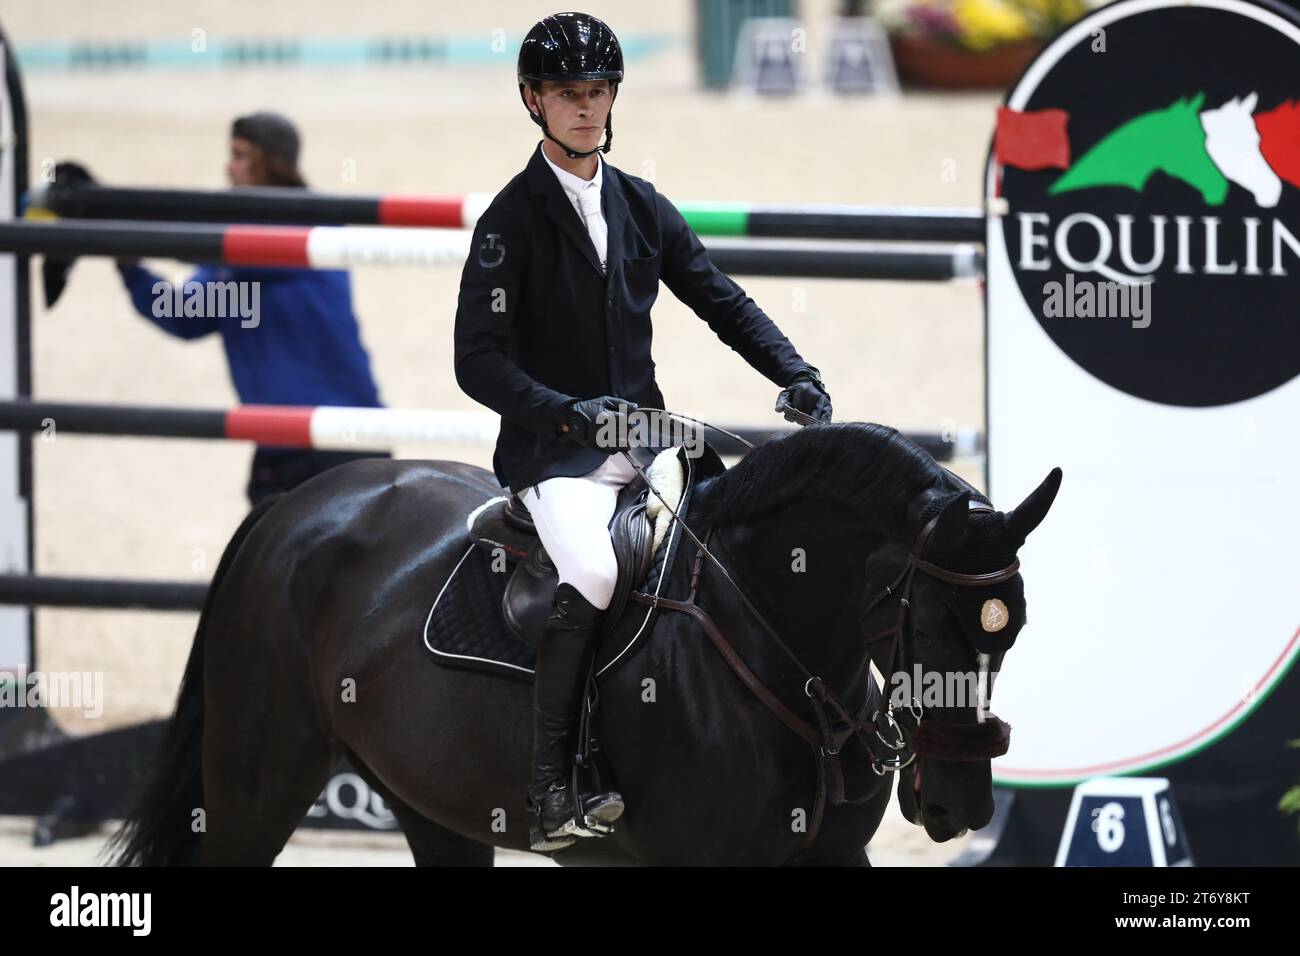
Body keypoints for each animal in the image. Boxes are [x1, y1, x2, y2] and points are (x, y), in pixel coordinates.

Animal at [101, 424, 1055, 868]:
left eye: (1012, 631)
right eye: (928, 626)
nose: (962, 806)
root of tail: (293, 509)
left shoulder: (832, 854)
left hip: (430, 801)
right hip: (258, 786)